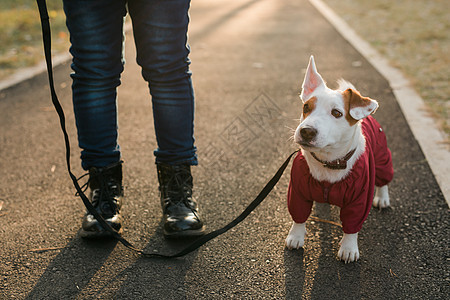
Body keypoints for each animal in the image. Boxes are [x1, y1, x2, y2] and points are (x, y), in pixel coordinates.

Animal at [286, 56, 392, 262]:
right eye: (306, 107)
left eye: (337, 113)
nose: (306, 131)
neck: (329, 162)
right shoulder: (297, 191)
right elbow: (299, 217)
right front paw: (296, 236)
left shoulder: (359, 199)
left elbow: (352, 226)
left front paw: (348, 248)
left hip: (382, 157)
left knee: (383, 180)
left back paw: (382, 198)